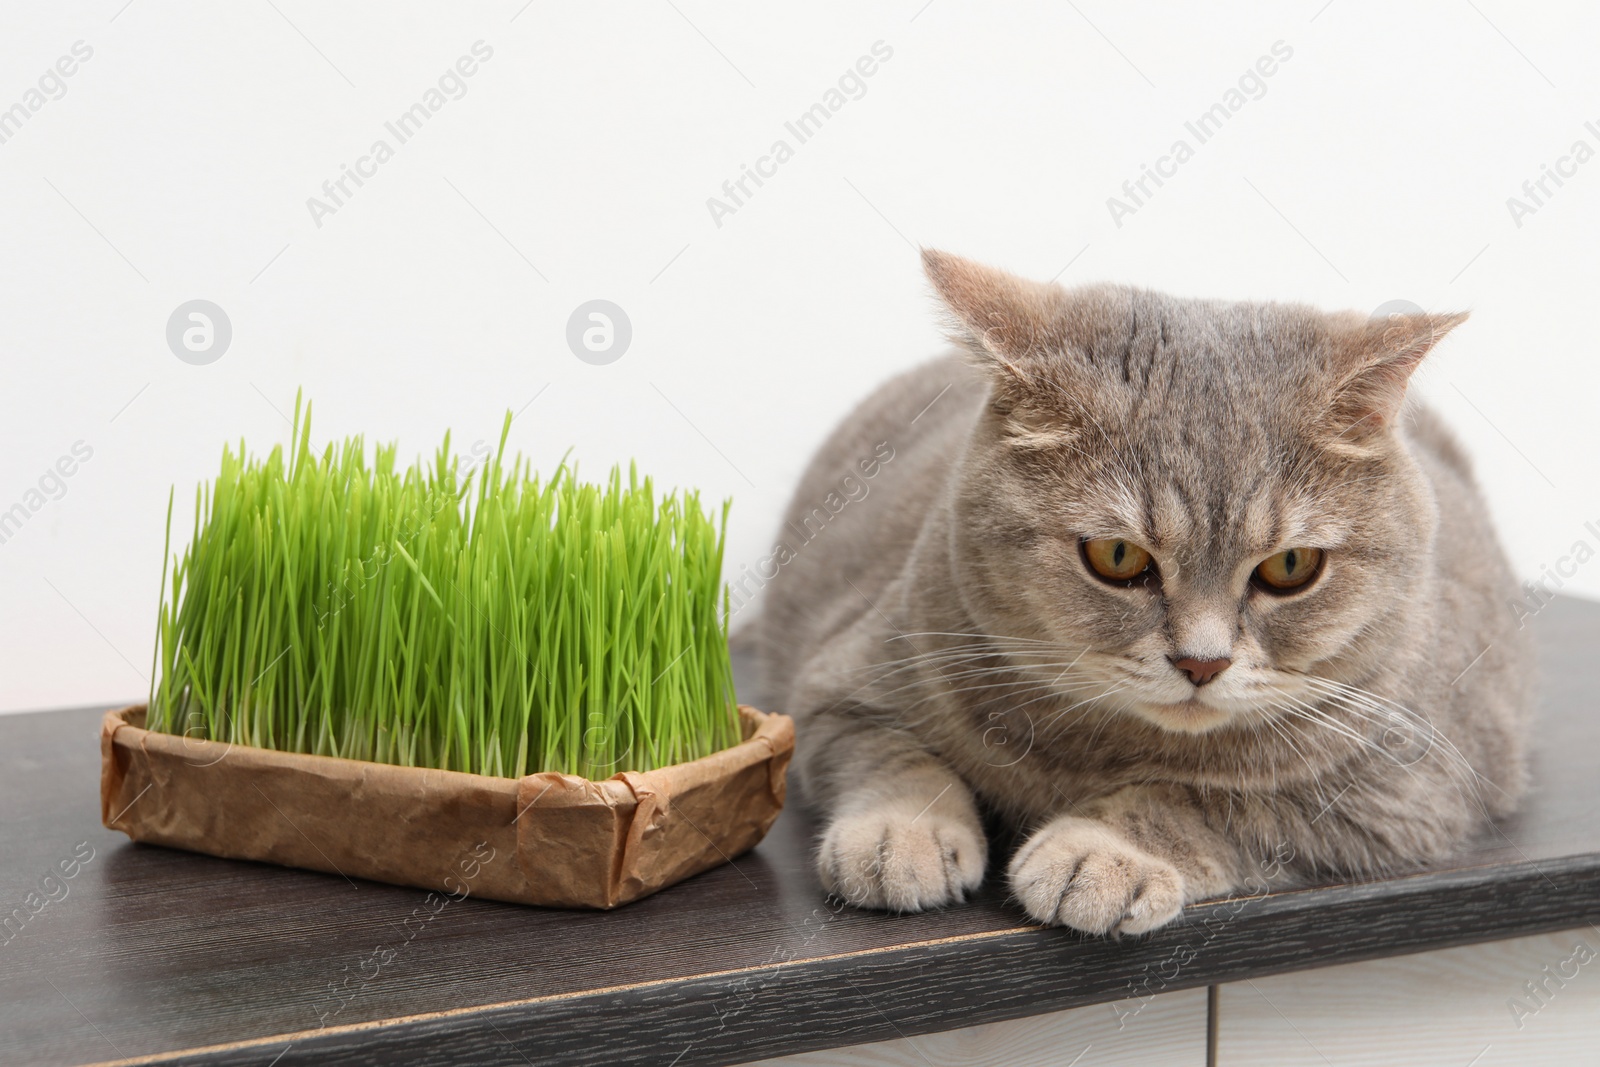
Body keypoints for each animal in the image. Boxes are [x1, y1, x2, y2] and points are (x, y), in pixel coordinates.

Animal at [758, 251, 1536, 934]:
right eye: (1118, 556)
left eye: (1290, 567)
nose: (1202, 662)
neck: (1094, 752)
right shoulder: (840, 682)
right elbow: (891, 757)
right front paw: (898, 836)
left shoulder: (1407, 792)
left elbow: (1202, 800)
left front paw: (1101, 852)